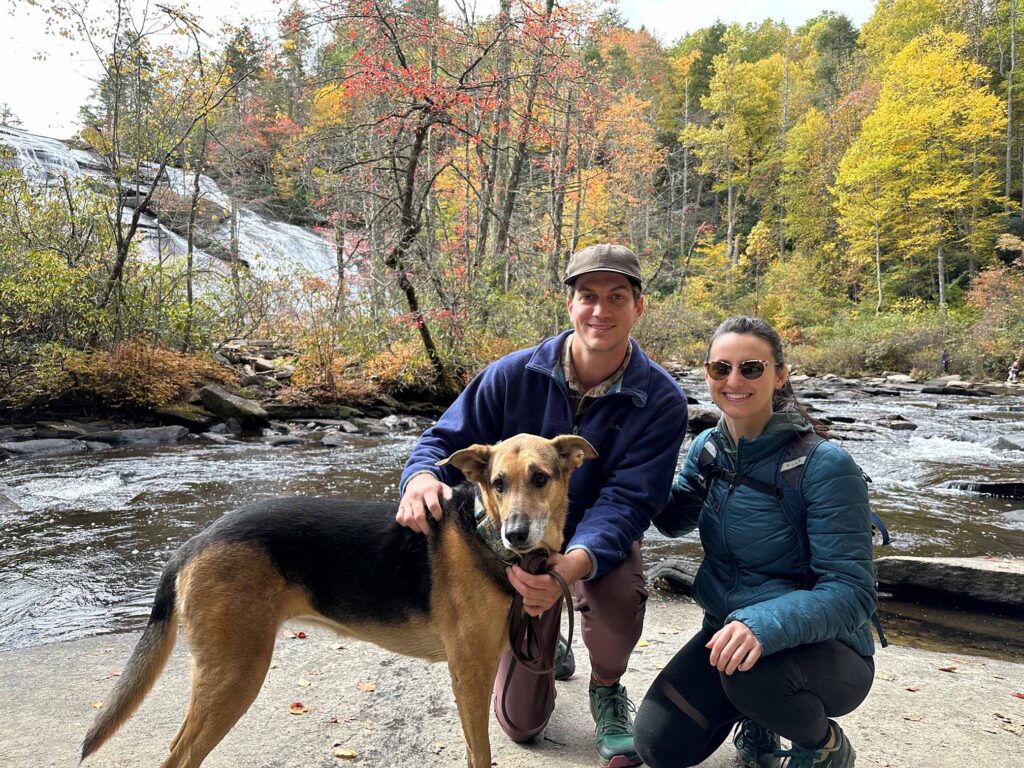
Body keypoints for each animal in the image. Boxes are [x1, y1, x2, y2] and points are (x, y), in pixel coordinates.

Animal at [83, 436, 598, 768]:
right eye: (497, 483)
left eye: (540, 478)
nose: (516, 535)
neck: (483, 532)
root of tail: (194, 542)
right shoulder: (469, 672)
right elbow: (481, 753)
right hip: (234, 674)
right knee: (181, 755)